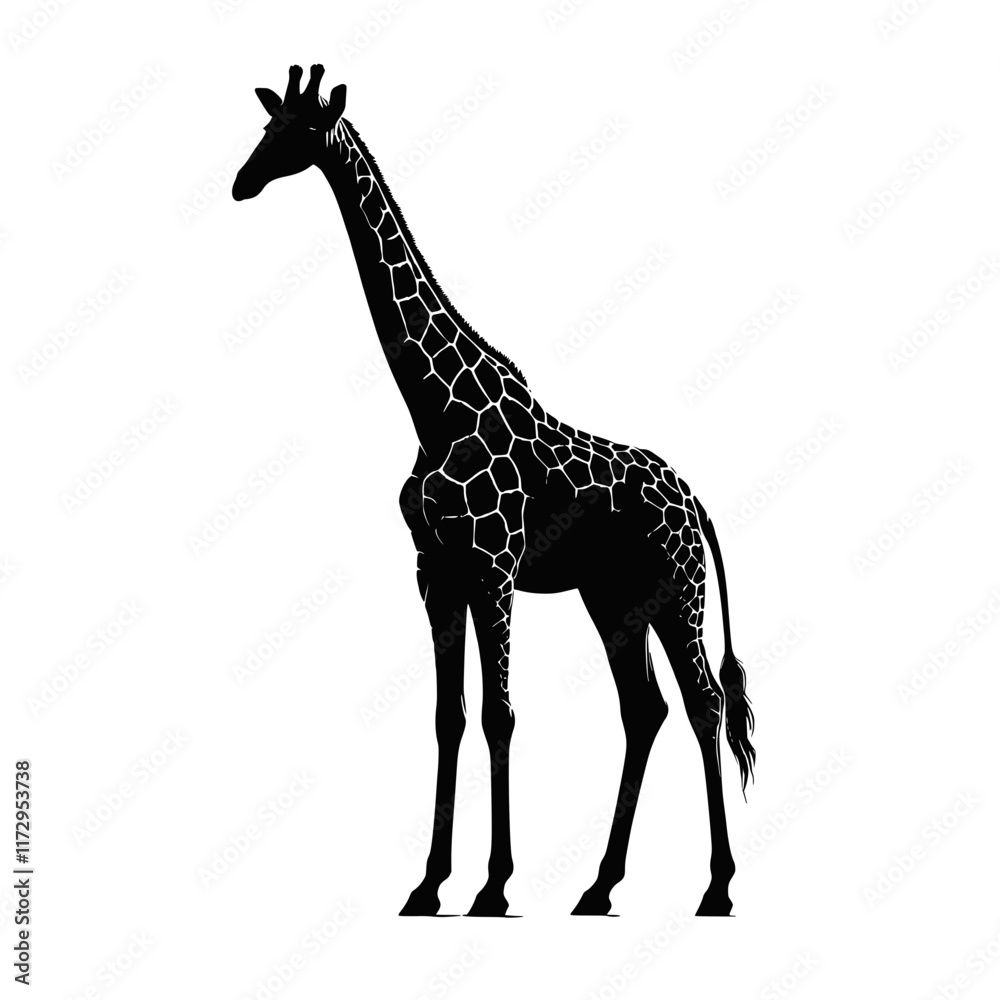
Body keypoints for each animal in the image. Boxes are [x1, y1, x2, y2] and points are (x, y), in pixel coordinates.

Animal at [233, 65, 755, 917]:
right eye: (265, 129)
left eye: (301, 132)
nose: (241, 182)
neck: (434, 408)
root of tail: (695, 501)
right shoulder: (436, 570)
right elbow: (449, 716)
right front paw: (428, 884)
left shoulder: (493, 564)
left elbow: (499, 713)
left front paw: (494, 886)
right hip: (616, 597)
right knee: (644, 709)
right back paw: (598, 887)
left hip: (678, 590)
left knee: (705, 703)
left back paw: (715, 888)